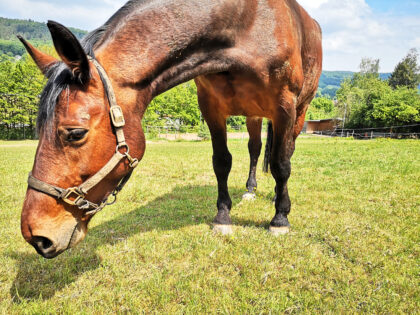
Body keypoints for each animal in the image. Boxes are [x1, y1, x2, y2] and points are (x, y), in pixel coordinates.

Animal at [18, 0, 322, 260]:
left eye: (75, 133)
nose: (36, 236)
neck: (248, 24)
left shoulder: (284, 106)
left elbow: (281, 164)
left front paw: (280, 218)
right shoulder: (211, 107)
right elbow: (222, 162)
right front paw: (223, 217)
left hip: (298, 111)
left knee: (285, 153)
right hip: (254, 115)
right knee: (255, 149)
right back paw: (250, 189)